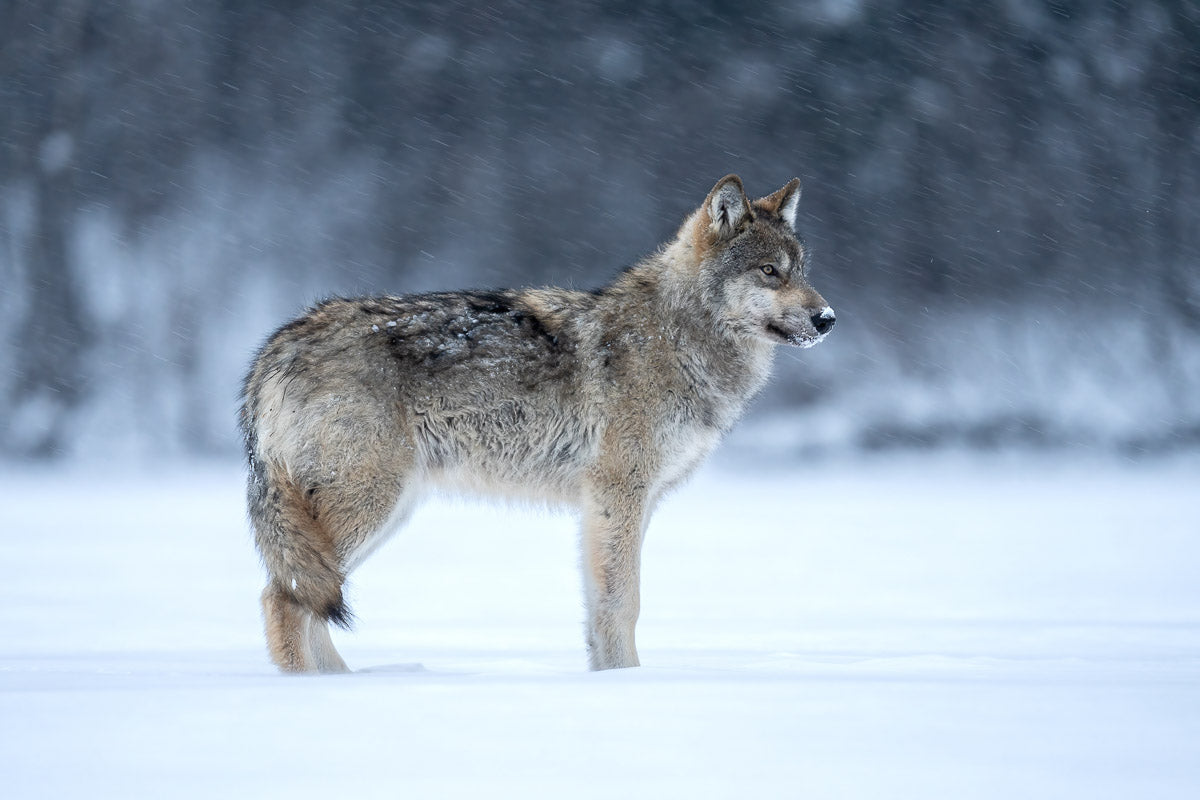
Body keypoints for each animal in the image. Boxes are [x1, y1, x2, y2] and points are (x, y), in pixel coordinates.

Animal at [236, 172, 835, 671]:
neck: (675, 337)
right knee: (282, 597)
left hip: (384, 512)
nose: (828, 318)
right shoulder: (618, 495)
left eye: (802, 272)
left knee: (302, 597)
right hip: (368, 506)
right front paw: (630, 681)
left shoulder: (622, 505)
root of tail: (276, 345)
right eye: (770, 273)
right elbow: (624, 603)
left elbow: (600, 609)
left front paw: (610, 679)